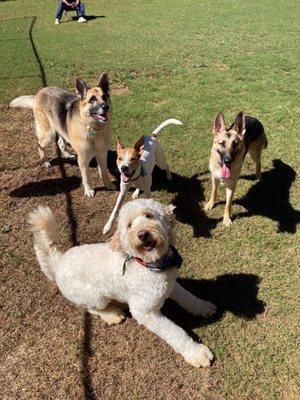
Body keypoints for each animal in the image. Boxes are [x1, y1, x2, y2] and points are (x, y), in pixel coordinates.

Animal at [29, 198, 217, 368]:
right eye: (129, 225)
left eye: (148, 215)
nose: (143, 234)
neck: (149, 265)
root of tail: (58, 263)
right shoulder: (145, 312)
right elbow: (174, 332)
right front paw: (196, 353)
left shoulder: (170, 283)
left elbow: (187, 297)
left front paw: (202, 307)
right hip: (94, 297)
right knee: (90, 308)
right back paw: (112, 314)